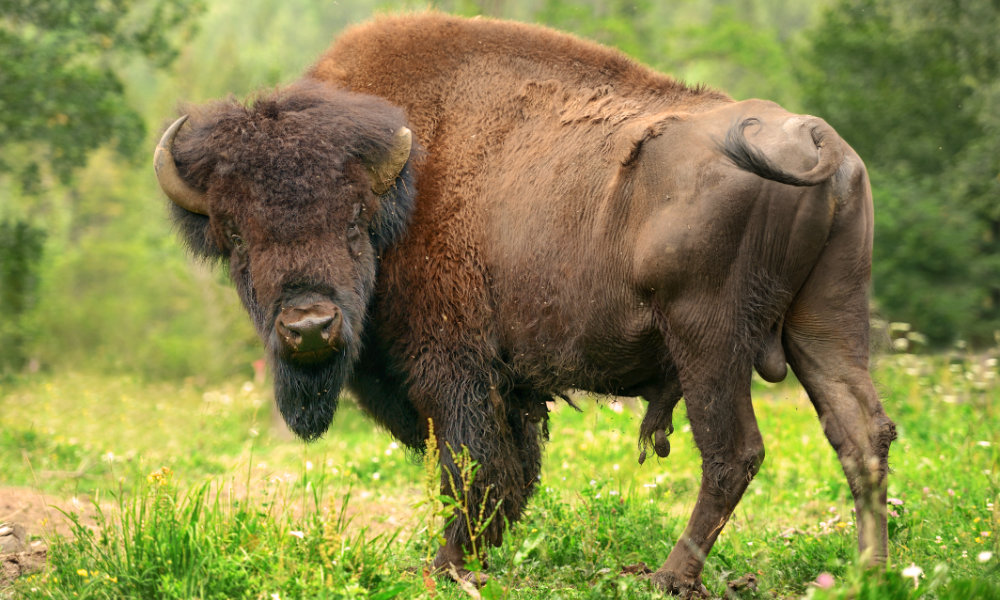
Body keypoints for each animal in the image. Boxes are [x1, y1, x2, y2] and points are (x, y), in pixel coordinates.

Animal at [154, 12, 900, 596]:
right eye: (237, 237)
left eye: (352, 222)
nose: (310, 326)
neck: (404, 187)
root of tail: (815, 142)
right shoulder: (504, 387)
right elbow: (509, 474)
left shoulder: (452, 368)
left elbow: (476, 471)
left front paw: (445, 568)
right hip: (827, 320)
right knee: (860, 433)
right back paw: (869, 571)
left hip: (707, 338)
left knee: (732, 451)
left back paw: (668, 577)